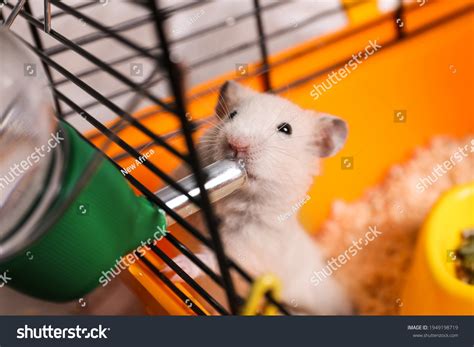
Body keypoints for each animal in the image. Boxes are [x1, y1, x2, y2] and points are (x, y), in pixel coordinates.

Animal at [170, 81, 352, 316]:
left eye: (286, 129)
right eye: (232, 114)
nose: (236, 144)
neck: (238, 196)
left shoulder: (250, 248)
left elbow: (219, 260)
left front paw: (176, 268)